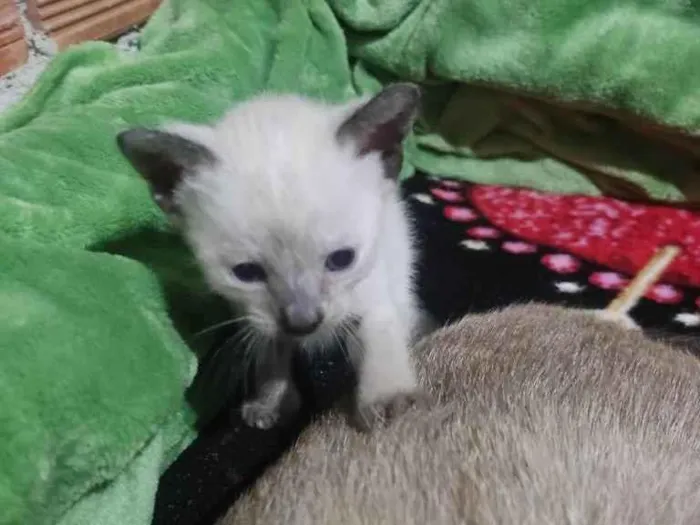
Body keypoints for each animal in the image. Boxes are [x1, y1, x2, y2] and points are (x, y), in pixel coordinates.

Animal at [116, 83, 422, 430]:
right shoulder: (255, 317)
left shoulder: (371, 291)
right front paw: (271, 401)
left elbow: (378, 334)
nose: (303, 323)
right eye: (246, 273)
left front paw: (387, 398)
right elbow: (269, 355)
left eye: (342, 260)